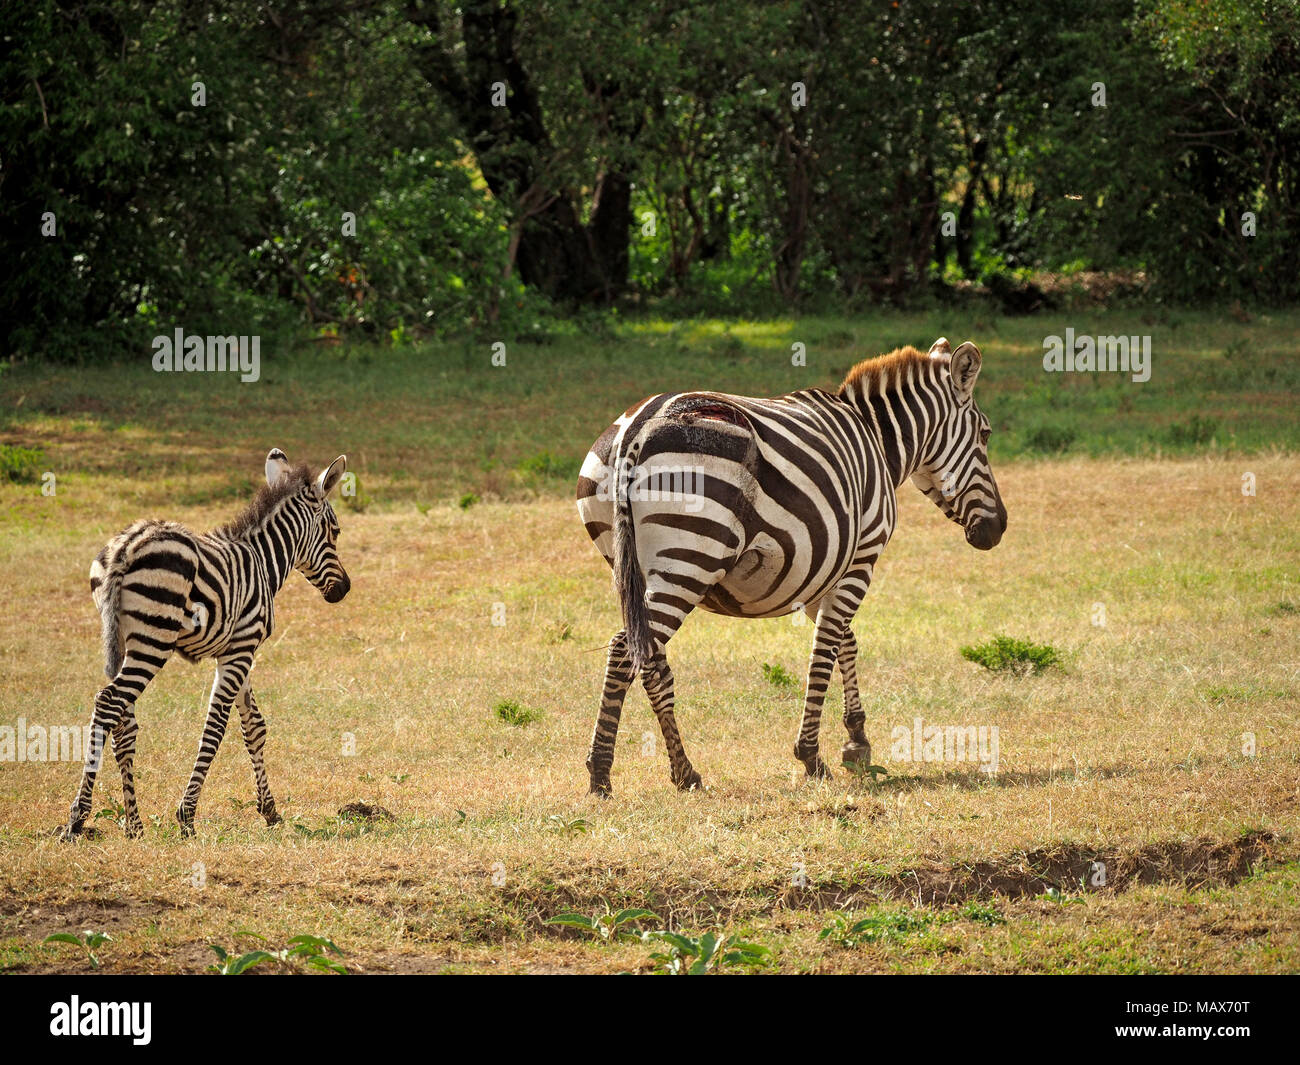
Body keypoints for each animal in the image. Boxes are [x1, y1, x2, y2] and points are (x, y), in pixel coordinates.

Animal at [61, 449, 351, 842]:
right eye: (335, 532)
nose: (344, 590)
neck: (262, 561)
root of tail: (127, 546)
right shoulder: (240, 650)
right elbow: (214, 730)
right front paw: (187, 816)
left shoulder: (238, 650)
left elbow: (254, 726)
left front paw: (270, 811)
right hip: (154, 640)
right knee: (108, 703)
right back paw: (77, 819)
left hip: (122, 639)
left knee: (123, 722)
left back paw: (134, 825)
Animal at [574, 338, 1008, 795]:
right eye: (985, 434)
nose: (997, 529)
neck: (876, 439)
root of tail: (636, 429)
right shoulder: (861, 557)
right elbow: (825, 648)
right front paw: (812, 755)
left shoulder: (827, 567)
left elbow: (844, 642)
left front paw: (856, 740)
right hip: (690, 560)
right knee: (626, 651)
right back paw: (617, 772)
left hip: (632, 567)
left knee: (644, 657)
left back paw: (665, 771)